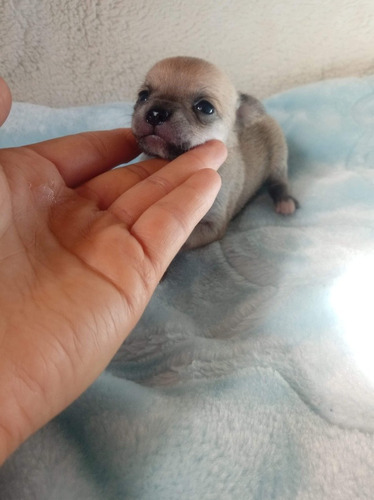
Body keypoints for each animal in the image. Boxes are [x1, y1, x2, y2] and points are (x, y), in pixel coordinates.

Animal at [131, 57, 298, 250]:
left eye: (205, 107)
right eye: (143, 96)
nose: (156, 113)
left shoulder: (211, 227)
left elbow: (185, 241)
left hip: (278, 155)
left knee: (279, 181)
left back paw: (285, 202)